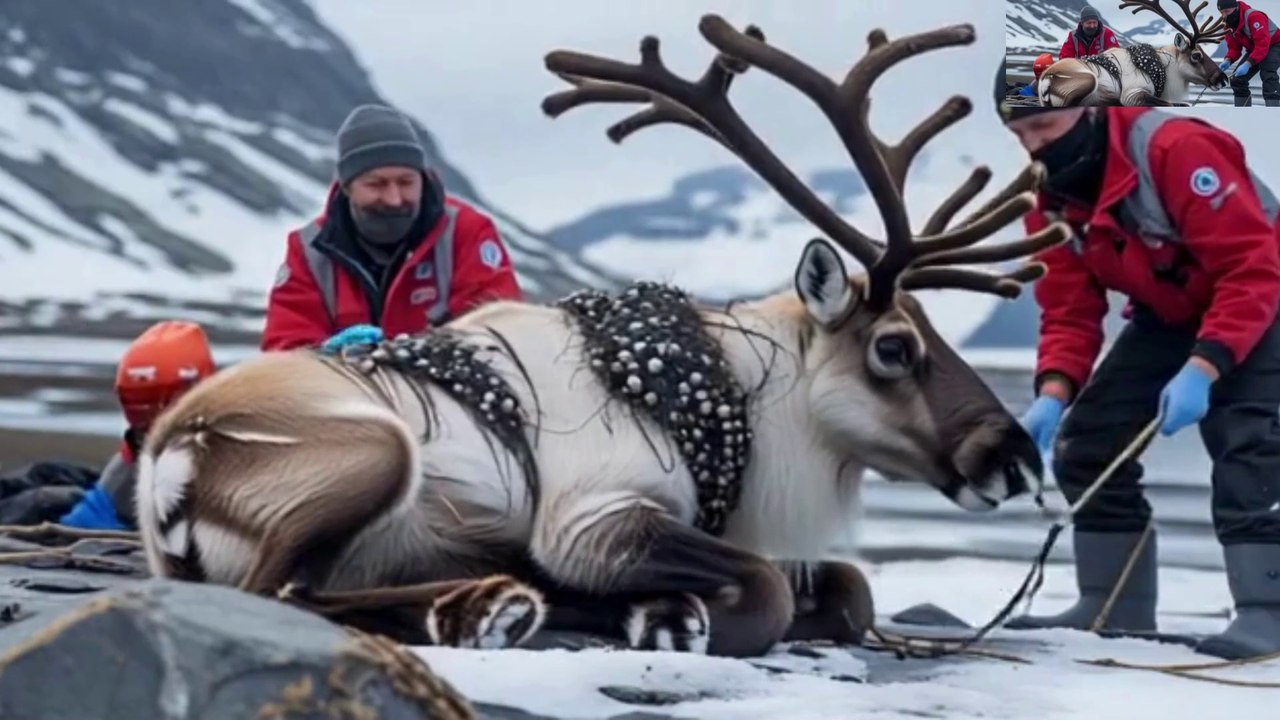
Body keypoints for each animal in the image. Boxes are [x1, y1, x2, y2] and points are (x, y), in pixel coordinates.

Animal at [133, 16, 1072, 659]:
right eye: (894, 347)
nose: (1018, 459)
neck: (743, 401)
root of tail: (170, 464)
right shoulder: (592, 519)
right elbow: (770, 589)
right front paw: (662, 613)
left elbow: (851, 591)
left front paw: (658, 608)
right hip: (378, 449)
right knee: (282, 593)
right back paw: (487, 607)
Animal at [1038, 0, 1228, 107]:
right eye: (1196, 55)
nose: (1223, 78)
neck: (1164, 68)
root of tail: (1045, 79)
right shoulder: (1132, 94)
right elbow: (1172, 104)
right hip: (1089, 79)